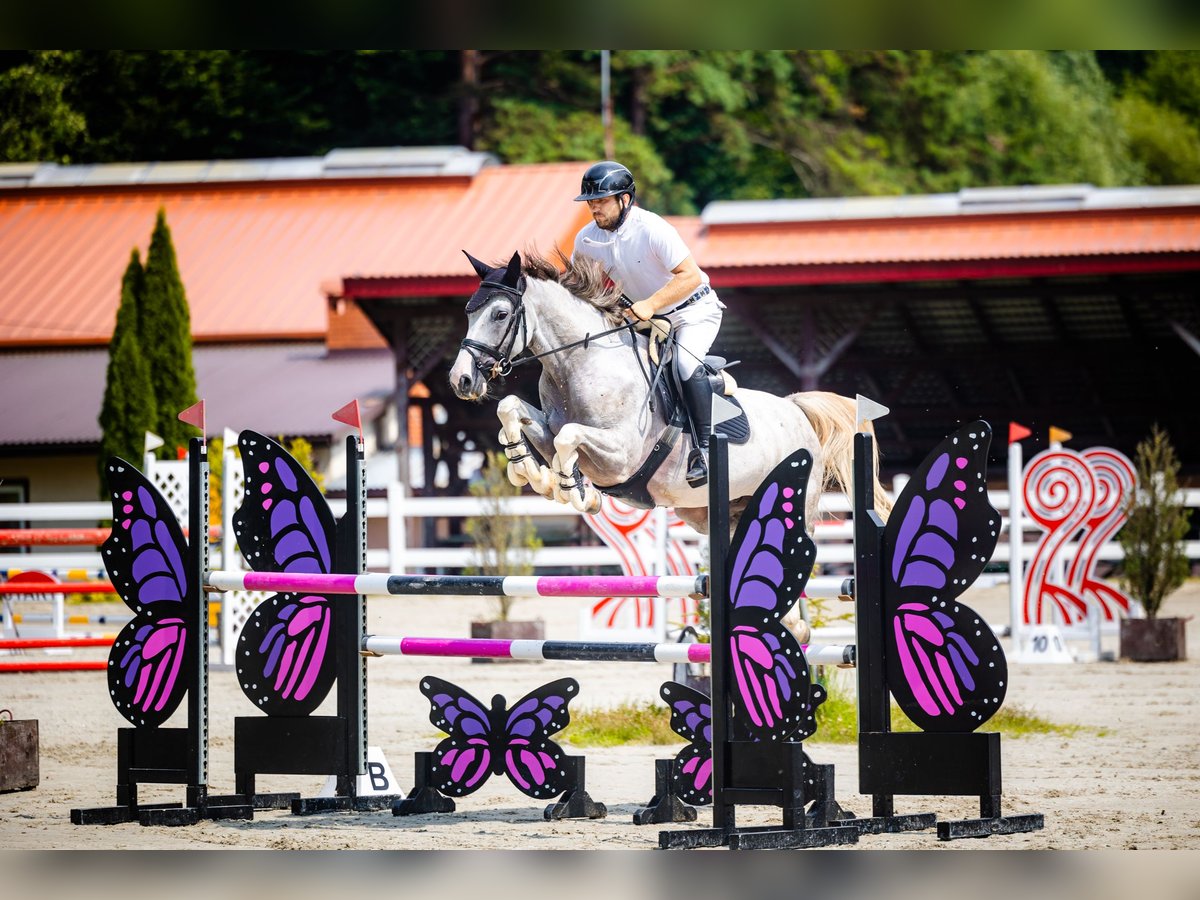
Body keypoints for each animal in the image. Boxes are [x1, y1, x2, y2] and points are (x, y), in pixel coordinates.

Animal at [446, 248, 888, 542]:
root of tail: (796, 409)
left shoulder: (621, 454)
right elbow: (513, 410)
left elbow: (567, 438)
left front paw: (574, 490)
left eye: (500, 314)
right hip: (714, 513)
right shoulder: (549, 424)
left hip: (799, 507)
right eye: (469, 311)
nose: (461, 380)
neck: (578, 362)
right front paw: (530, 472)